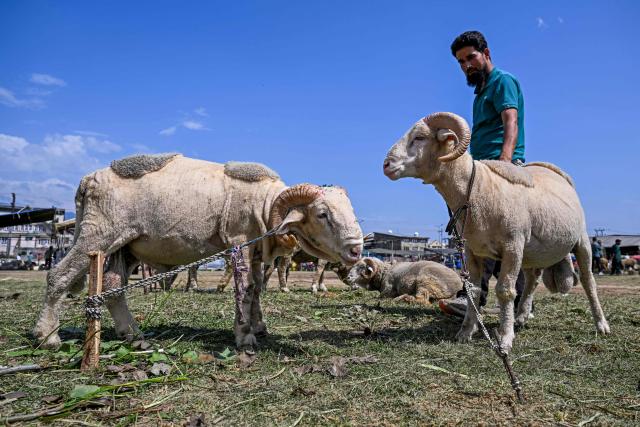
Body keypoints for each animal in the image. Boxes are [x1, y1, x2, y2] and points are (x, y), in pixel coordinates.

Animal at [383, 112, 609, 353]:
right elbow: (474, 291)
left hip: (581, 241)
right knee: (532, 280)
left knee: (588, 281)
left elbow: (505, 291)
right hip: (530, 253)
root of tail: (553, 170)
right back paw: (521, 317)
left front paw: (505, 338)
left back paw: (601, 324)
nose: (386, 165)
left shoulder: (512, 246)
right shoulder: (473, 250)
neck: (477, 189)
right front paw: (466, 332)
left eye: (419, 137)